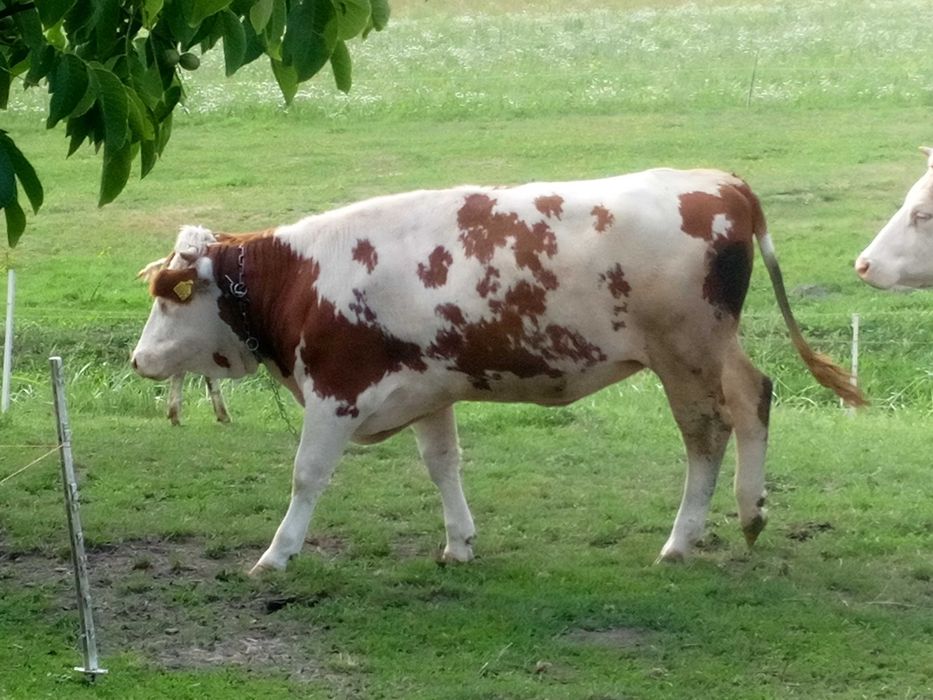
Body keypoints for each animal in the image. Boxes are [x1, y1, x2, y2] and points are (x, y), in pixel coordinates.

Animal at [133, 170, 868, 576]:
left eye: (167, 301)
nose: (138, 359)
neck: (302, 279)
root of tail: (721, 183)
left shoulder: (336, 393)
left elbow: (306, 475)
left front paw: (277, 555)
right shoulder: (425, 389)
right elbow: (442, 464)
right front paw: (458, 543)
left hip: (683, 355)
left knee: (707, 433)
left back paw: (681, 540)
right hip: (716, 346)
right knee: (753, 398)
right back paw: (750, 512)